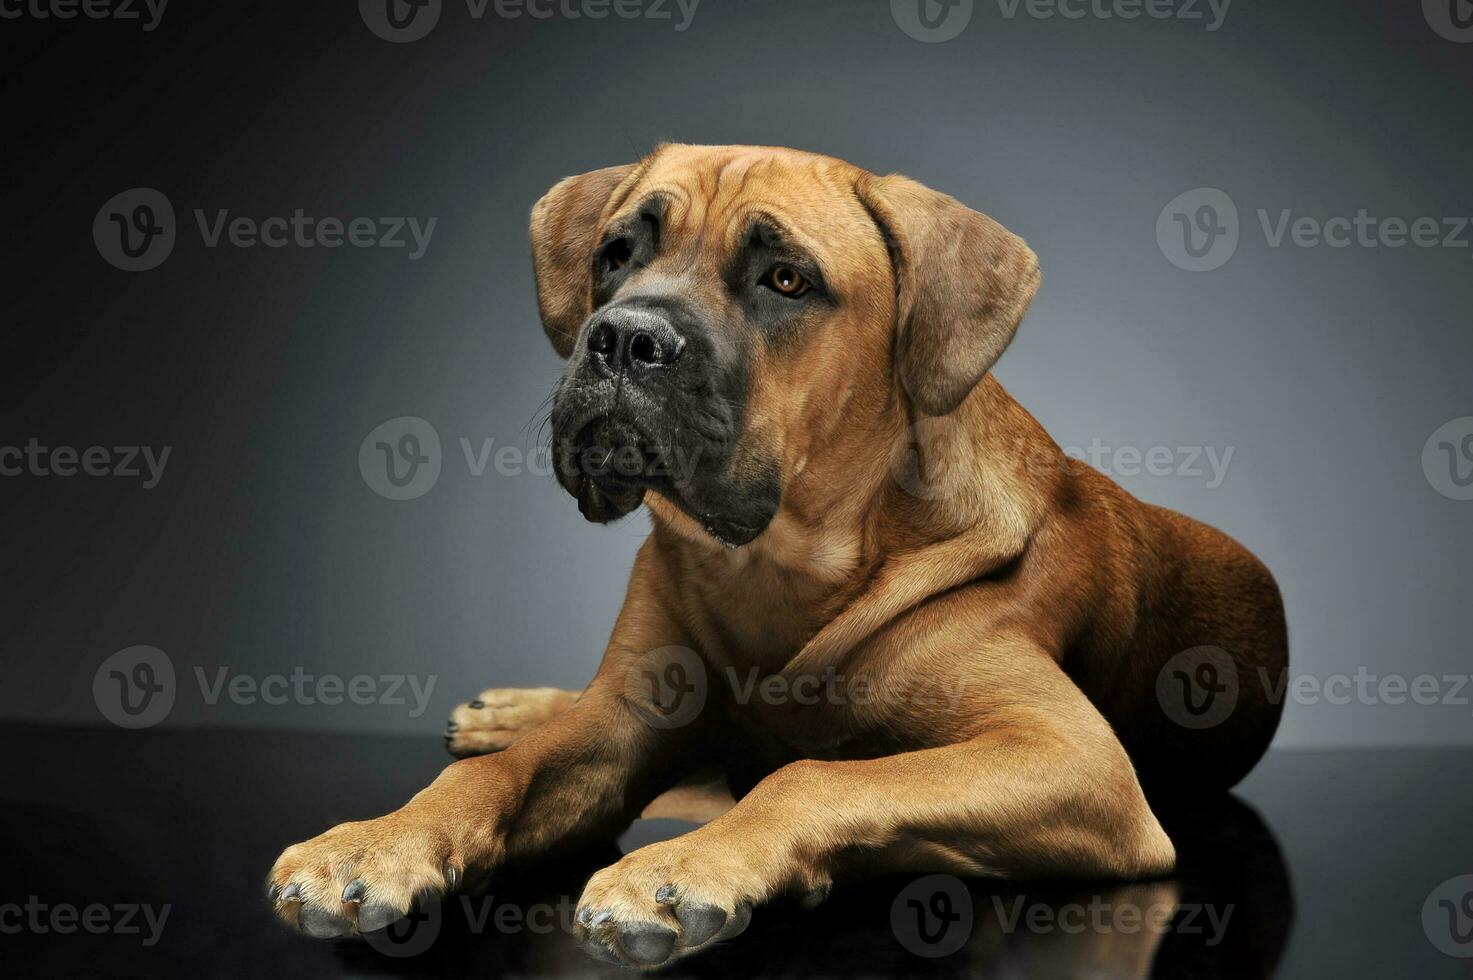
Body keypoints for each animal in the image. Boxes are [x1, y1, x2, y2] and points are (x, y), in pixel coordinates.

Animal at [268, 141, 1290, 966]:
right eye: (616, 254)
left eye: (787, 280)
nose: (624, 337)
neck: (775, 562)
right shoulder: (628, 716)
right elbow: (496, 775)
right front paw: (376, 842)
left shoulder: (1072, 762)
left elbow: (811, 775)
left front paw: (688, 866)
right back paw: (512, 712)